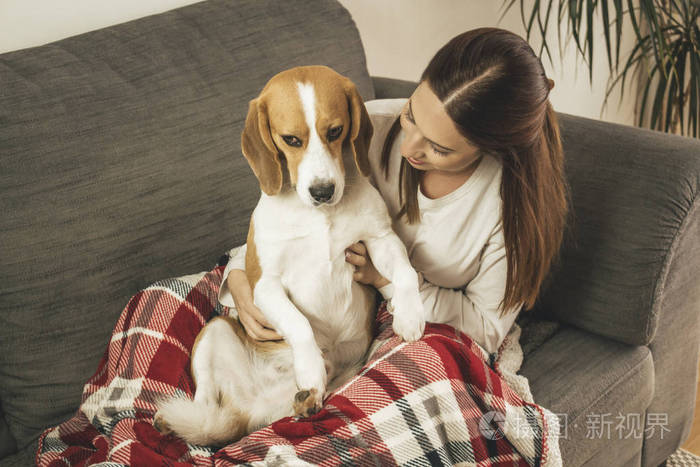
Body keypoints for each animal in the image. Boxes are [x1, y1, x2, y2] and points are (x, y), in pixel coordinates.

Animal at [155, 65, 424, 446]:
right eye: (291, 140)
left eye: (335, 131)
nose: (323, 191)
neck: (319, 215)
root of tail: (252, 411)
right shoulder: (265, 286)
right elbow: (300, 325)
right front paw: (309, 369)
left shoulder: (381, 239)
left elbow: (405, 273)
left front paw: (410, 315)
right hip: (213, 330)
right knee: (205, 406)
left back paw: (306, 400)